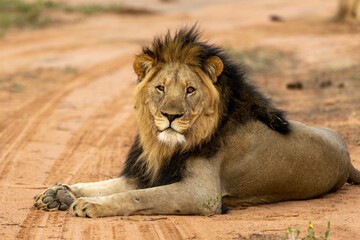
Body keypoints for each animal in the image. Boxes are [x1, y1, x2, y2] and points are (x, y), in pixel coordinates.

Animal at [34, 26, 360, 218]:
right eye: (160, 88)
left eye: (190, 90)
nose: (171, 116)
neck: (164, 147)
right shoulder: (148, 172)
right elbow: (103, 184)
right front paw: (59, 193)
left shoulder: (201, 194)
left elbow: (137, 197)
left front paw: (93, 205)